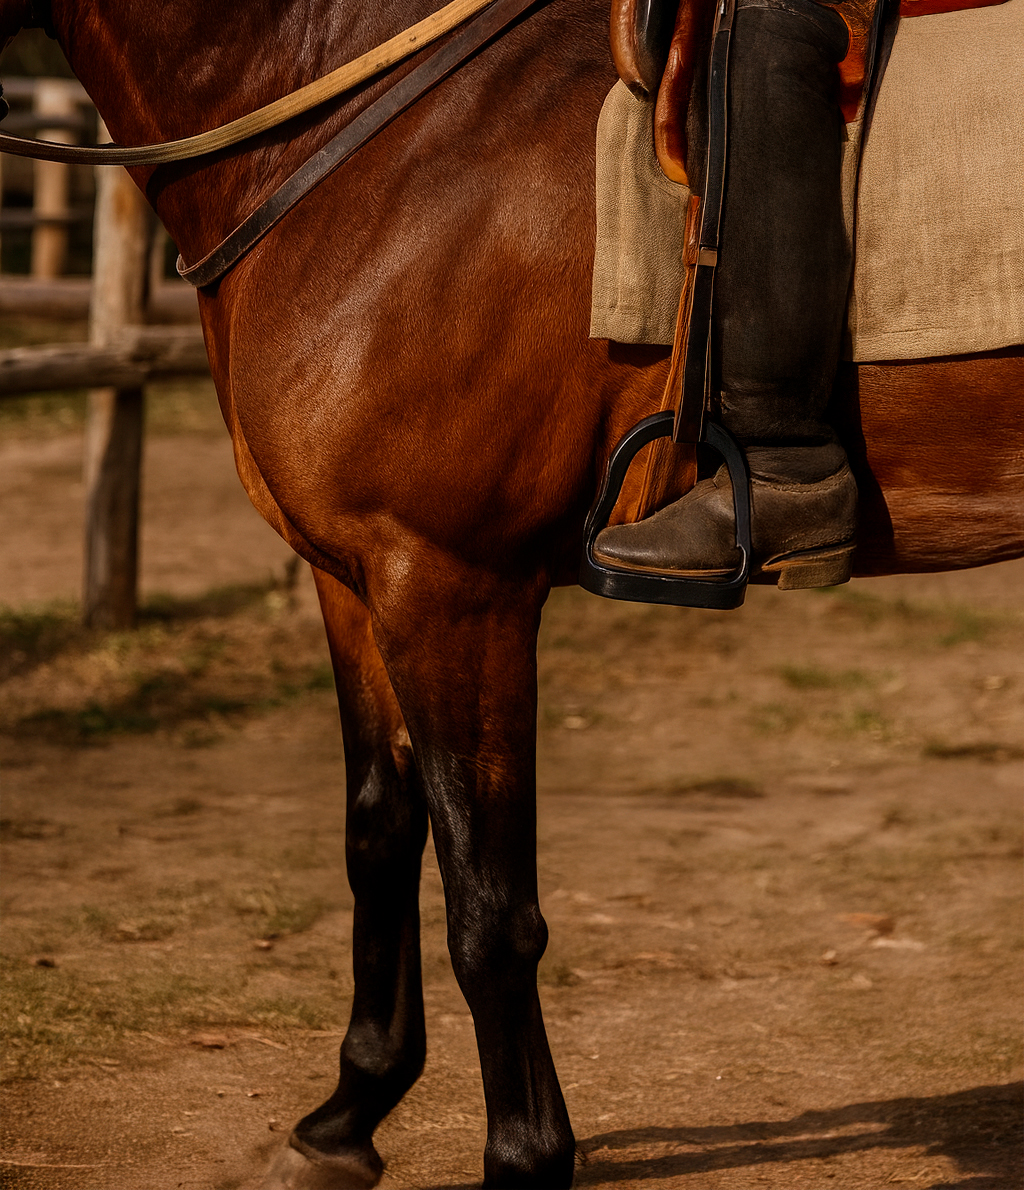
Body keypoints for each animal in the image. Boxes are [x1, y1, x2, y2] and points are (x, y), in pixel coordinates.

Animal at [1, 0, 1021, 1186]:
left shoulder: (449, 586)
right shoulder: (355, 581)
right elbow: (379, 834)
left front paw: (525, 1155)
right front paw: (346, 1115)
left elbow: (488, 904)